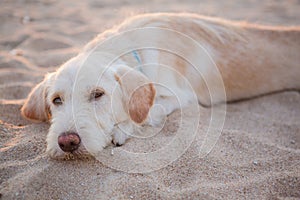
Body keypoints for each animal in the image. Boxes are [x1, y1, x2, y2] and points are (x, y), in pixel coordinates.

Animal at [21, 12, 300, 159]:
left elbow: (149, 111)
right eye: (56, 100)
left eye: (98, 94)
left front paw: (122, 130)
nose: (67, 142)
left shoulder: (182, 97)